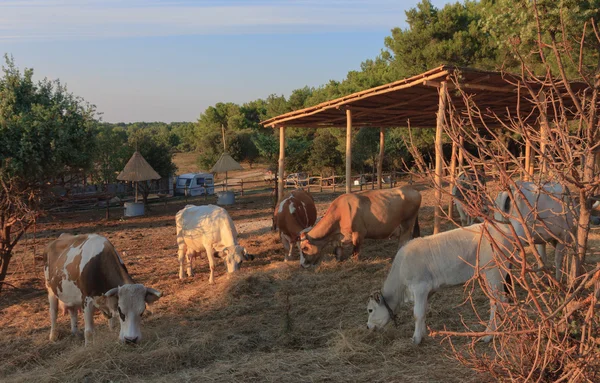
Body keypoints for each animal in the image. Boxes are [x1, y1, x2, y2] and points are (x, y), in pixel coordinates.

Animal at [366, 222, 516, 344]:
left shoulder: (420, 286)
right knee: (503, 300)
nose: (367, 326)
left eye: (370, 310)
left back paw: (488, 335)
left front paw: (416, 339)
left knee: (495, 302)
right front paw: (422, 333)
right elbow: (423, 311)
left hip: (492, 272)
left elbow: (417, 313)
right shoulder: (427, 291)